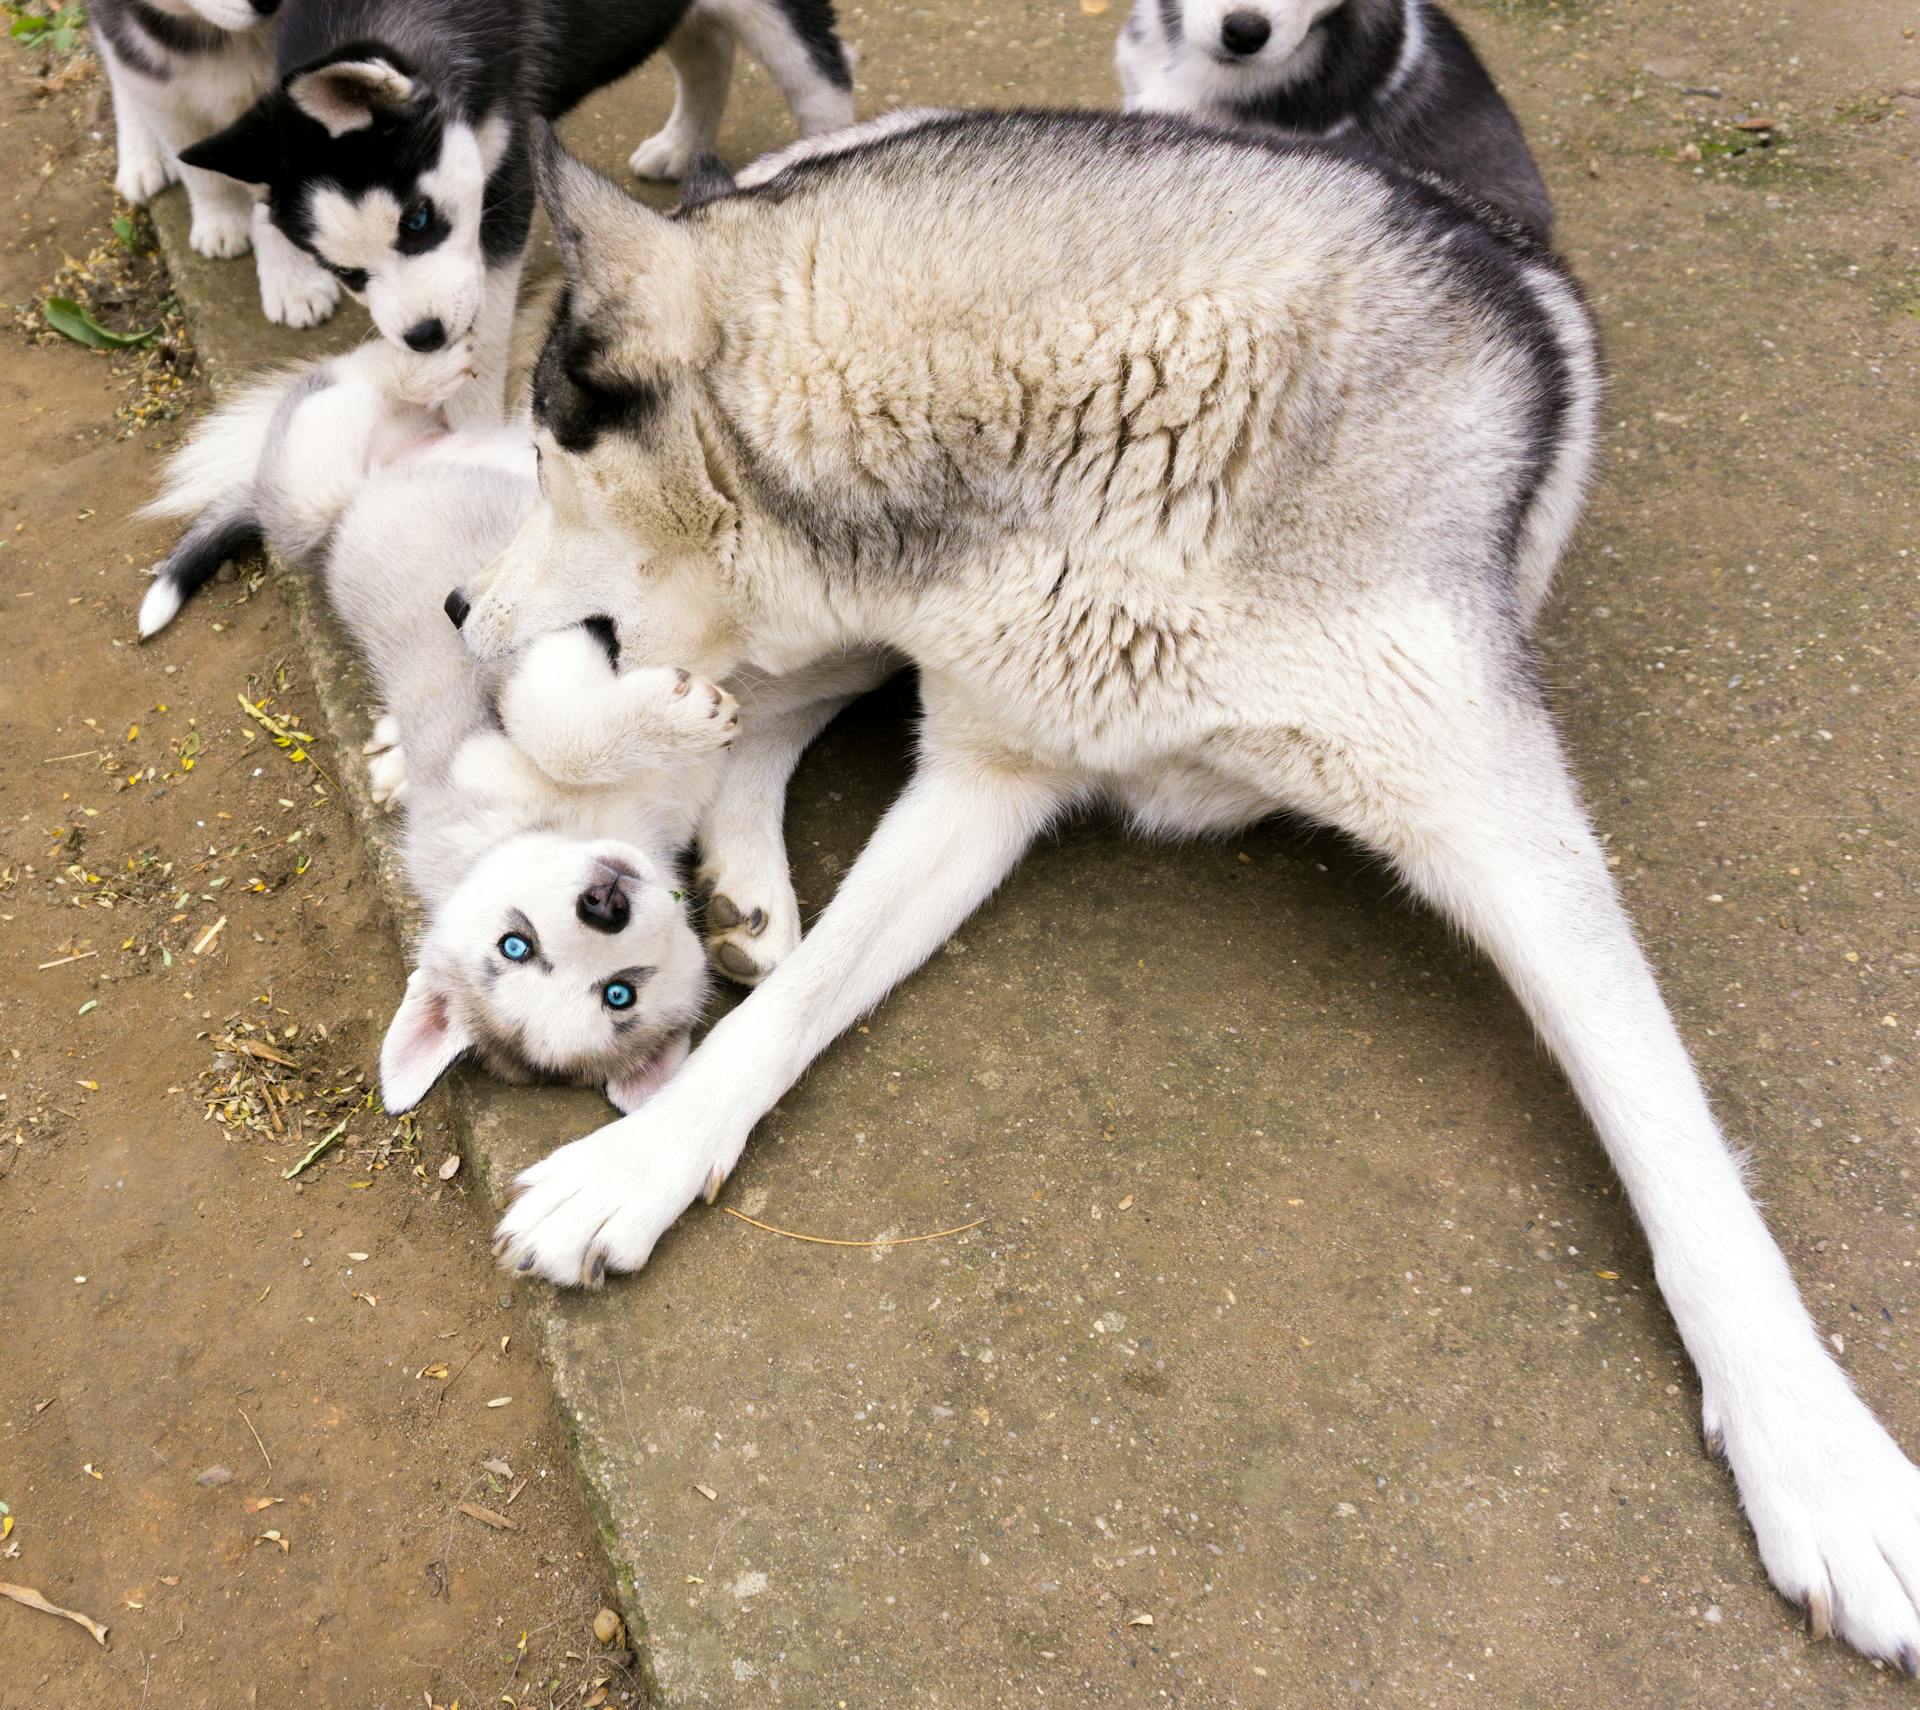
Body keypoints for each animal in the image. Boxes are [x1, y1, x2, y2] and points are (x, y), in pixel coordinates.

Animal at [87, 0, 341, 326]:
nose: (270, 3)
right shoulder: (166, 95)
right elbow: (203, 174)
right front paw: (222, 221)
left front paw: (295, 283)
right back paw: (141, 154)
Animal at [445, 113, 1920, 1665]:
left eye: (544, 460)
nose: (457, 606)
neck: (1118, 445)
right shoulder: (989, 758)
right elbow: (786, 1019)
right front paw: (645, 1164)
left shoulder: (1507, 829)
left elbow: (1678, 1156)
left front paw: (1820, 1463)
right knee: (745, 720)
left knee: (750, 717)